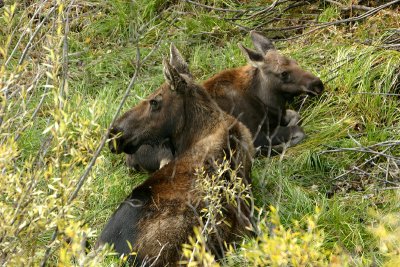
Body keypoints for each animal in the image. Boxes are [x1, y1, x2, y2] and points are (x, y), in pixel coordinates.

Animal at [126, 31, 324, 173]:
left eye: (295, 62)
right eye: (283, 73)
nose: (317, 84)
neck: (268, 102)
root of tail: (130, 159)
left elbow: (296, 116)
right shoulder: (258, 132)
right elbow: (298, 131)